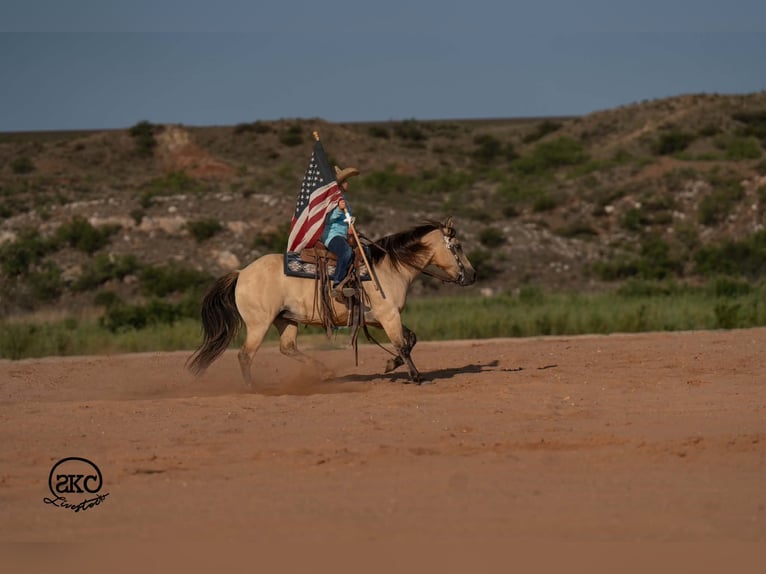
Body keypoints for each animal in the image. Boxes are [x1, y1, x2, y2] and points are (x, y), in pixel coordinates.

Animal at [187, 217, 476, 385]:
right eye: (458, 246)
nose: (473, 275)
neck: (389, 268)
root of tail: (241, 273)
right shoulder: (389, 315)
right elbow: (403, 345)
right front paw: (415, 376)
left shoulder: (381, 317)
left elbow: (411, 338)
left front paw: (389, 364)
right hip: (259, 324)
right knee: (246, 355)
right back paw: (252, 387)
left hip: (285, 320)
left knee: (287, 348)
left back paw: (323, 371)